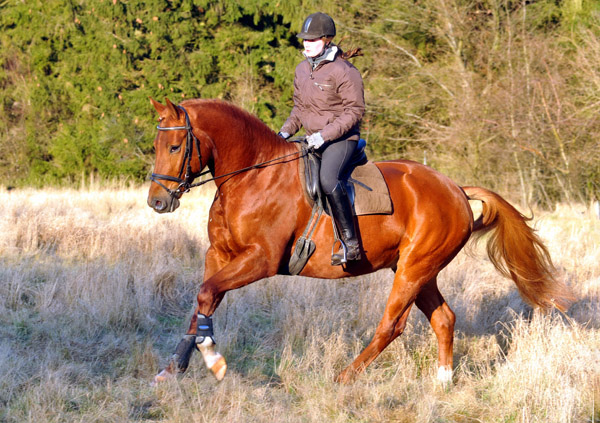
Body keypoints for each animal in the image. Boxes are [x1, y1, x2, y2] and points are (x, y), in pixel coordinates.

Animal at [145, 97, 572, 386]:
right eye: (156, 146)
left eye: (175, 147)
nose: (157, 201)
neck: (252, 177)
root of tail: (456, 189)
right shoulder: (219, 255)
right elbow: (202, 301)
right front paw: (173, 367)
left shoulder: (260, 260)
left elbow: (206, 295)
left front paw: (213, 360)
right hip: (419, 270)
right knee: (443, 319)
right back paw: (443, 381)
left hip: (413, 270)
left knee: (391, 326)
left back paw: (345, 376)